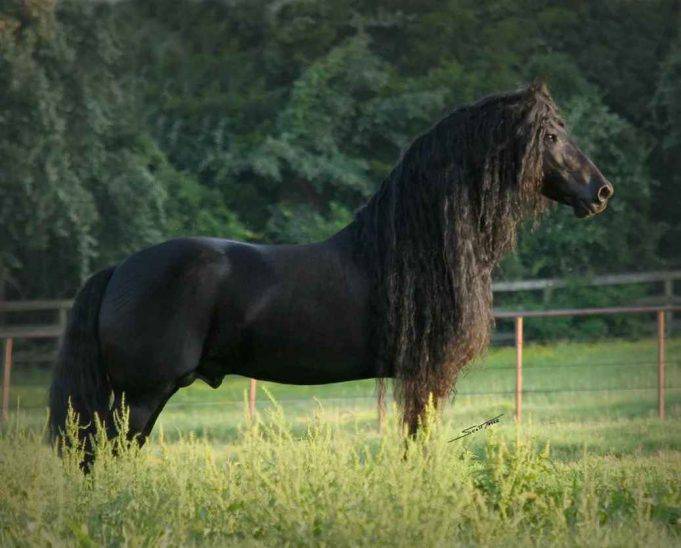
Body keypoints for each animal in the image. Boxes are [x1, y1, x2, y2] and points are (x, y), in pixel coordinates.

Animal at [49, 82, 613, 461]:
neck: (413, 250)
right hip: (142, 395)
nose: (601, 191)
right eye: (552, 136)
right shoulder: (427, 375)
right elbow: (418, 447)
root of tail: (121, 269)